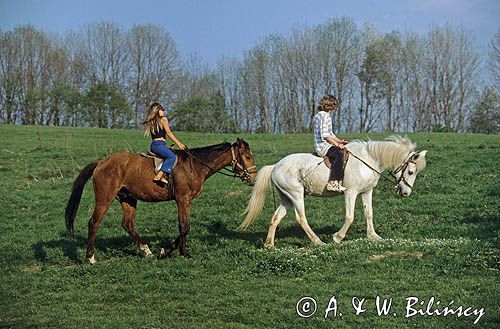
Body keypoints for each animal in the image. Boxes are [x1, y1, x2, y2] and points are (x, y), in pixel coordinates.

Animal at [64, 138, 256, 264]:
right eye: (247, 157)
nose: (253, 179)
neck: (195, 166)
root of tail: (102, 162)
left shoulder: (185, 201)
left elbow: (184, 228)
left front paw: (165, 251)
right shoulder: (182, 200)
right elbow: (184, 227)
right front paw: (184, 253)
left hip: (128, 199)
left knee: (128, 224)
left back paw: (146, 250)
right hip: (105, 199)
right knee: (94, 223)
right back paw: (90, 257)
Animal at [240, 135, 428, 246]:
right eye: (411, 172)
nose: (406, 193)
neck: (368, 159)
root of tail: (275, 166)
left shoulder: (366, 192)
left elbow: (369, 214)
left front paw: (373, 236)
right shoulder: (351, 193)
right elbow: (350, 217)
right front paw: (337, 237)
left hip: (287, 198)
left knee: (275, 217)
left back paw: (269, 244)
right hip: (296, 194)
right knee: (301, 218)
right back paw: (318, 242)